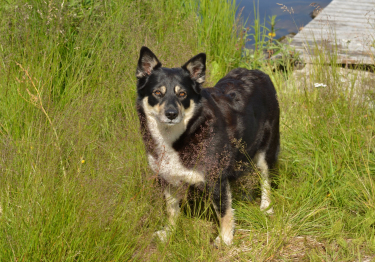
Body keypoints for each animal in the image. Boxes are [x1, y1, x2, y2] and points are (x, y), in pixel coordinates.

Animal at [135, 46, 280, 245]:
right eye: (157, 93)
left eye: (182, 94)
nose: (171, 114)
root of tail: (258, 72)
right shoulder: (167, 178)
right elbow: (172, 210)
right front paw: (169, 232)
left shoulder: (216, 179)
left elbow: (224, 212)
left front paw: (225, 239)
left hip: (265, 151)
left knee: (265, 179)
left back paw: (266, 207)